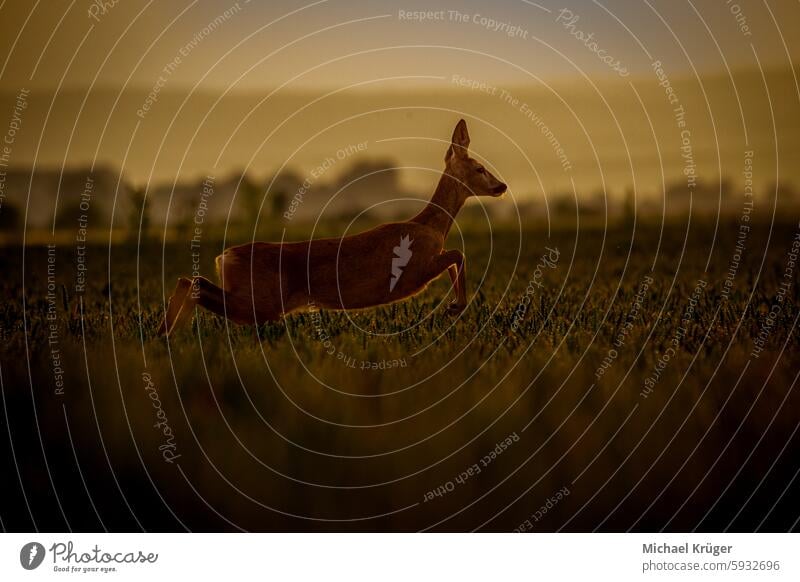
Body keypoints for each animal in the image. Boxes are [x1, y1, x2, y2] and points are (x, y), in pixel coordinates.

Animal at [157, 120, 506, 338]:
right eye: (479, 168)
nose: (502, 185)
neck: (430, 225)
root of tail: (224, 257)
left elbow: (456, 257)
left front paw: (454, 306)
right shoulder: (418, 268)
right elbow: (458, 255)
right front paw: (455, 306)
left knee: (189, 279)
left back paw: (164, 337)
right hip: (260, 301)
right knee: (193, 282)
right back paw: (169, 336)